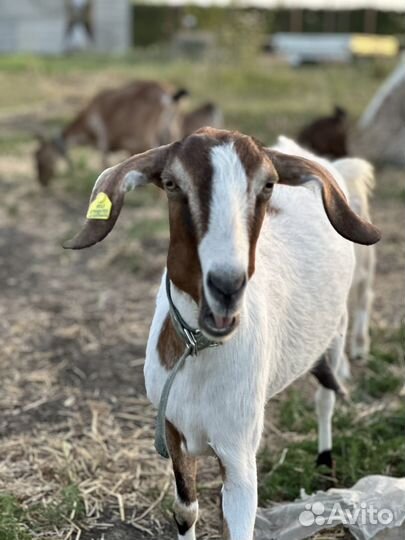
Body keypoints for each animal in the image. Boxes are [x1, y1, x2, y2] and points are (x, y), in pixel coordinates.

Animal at [34, 81, 187, 187]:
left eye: (39, 157)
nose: (42, 182)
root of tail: (168, 96)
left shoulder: (103, 141)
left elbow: (104, 164)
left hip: (147, 137)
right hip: (173, 131)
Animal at [64, 127, 380, 540]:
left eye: (268, 184)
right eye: (171, 183)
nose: (227, 287)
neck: (198, 353)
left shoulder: (239, 454)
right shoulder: (173, 431)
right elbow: (185, 510)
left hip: (335, 331)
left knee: (326, 395)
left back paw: (325, 458)